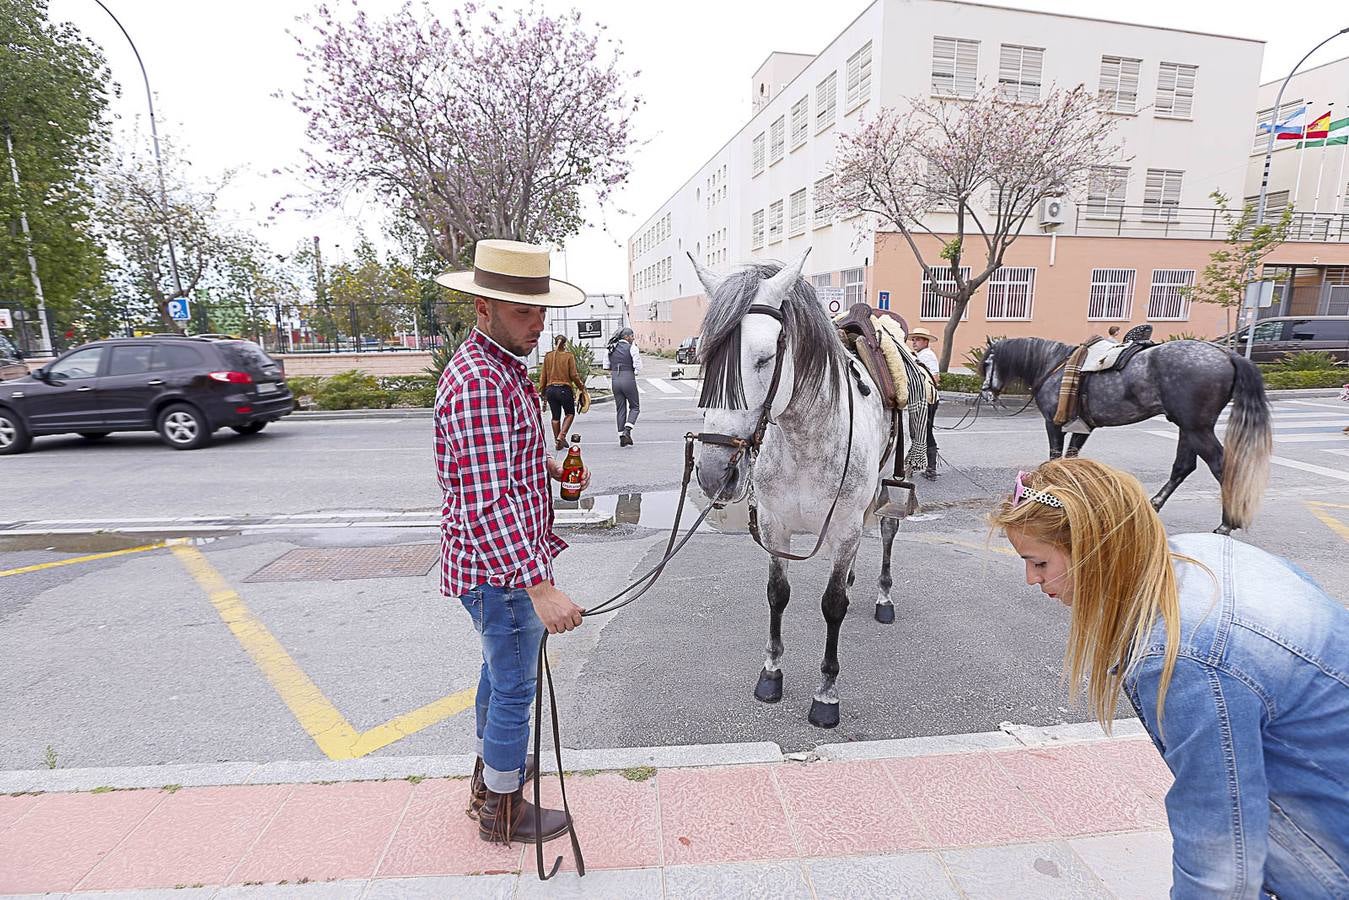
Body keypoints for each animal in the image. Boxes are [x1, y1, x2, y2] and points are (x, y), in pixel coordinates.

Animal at [690, 249, 901, 728]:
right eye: (704, 357)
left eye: (765, 358)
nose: (713, 474)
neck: (804, 436)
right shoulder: (774, 526)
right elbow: (777, 595)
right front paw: (771, 673)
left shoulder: (844, 525)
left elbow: (833, 604)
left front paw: (826, 693)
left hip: (885, 491)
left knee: (885, 532)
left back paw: (883, 596)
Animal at [976, 340, 1268, 534]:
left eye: (989, 363)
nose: (986, 392)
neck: (1055, 366)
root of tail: (1226, 353)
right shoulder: (1083, 427)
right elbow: (1071, 459)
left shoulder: (1054, 424)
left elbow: (1055, 458)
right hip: (1189, 428)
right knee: (1184, 466)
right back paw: (1155, 504)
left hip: (1197, 428)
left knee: (1220, 466)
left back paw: (1227, 523)